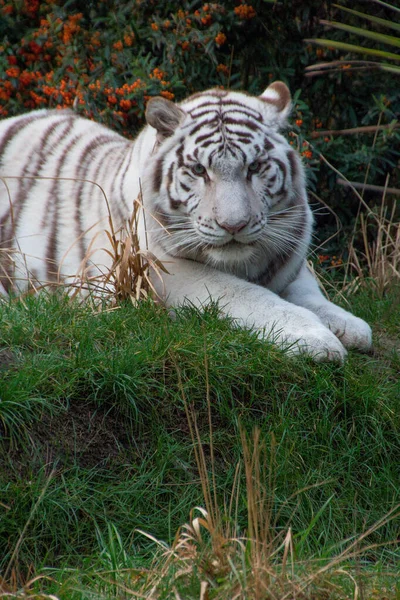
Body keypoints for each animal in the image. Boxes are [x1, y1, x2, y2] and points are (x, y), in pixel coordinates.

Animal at [0, 81, 372, 358]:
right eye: (199, 170)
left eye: (254, 167)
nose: (234, 226)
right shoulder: (162, 272)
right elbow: (247, 295)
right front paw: (316, 339)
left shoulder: (289, 257)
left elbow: (309, 291)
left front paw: (350, 326)